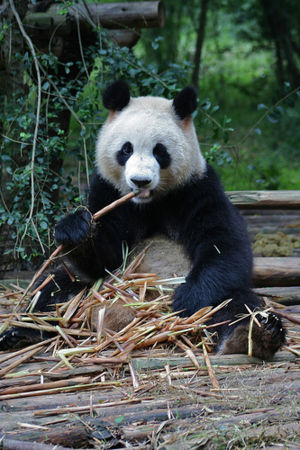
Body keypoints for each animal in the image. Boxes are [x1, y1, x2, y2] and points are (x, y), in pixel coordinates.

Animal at [0, 81, 286, 358]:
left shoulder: (197, 189)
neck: (149, 204)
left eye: (160, 151)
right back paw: (21, 333)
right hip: (84, 291)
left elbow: (224, 245)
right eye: (126, 149)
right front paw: (75, 229)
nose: (140, 181)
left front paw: (187, 299)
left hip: (224, 296)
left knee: (236, 304)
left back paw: (256, 334)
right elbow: (104, 257)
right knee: (53, 289)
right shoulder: (109, 191)